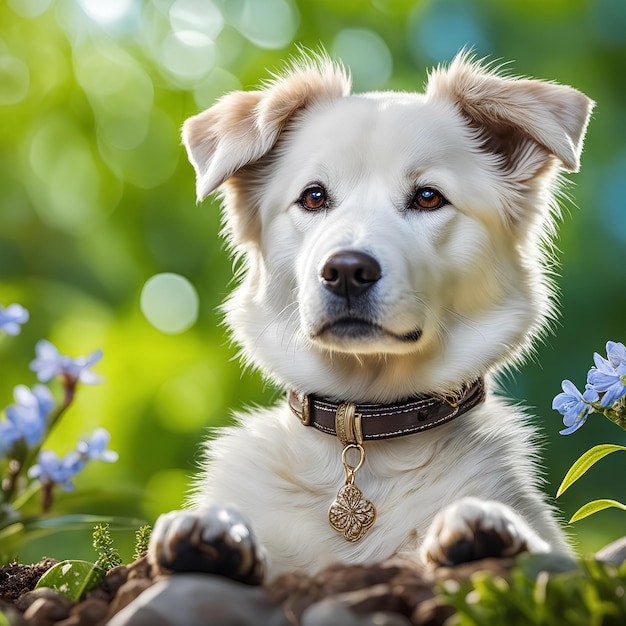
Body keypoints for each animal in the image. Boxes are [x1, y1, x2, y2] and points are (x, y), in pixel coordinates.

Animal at [146, 51, 588, 584]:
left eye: (428, 197)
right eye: (314, 197)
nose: (346, 272)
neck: (364, 429)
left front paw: (483, 527)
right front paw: (215, 532)